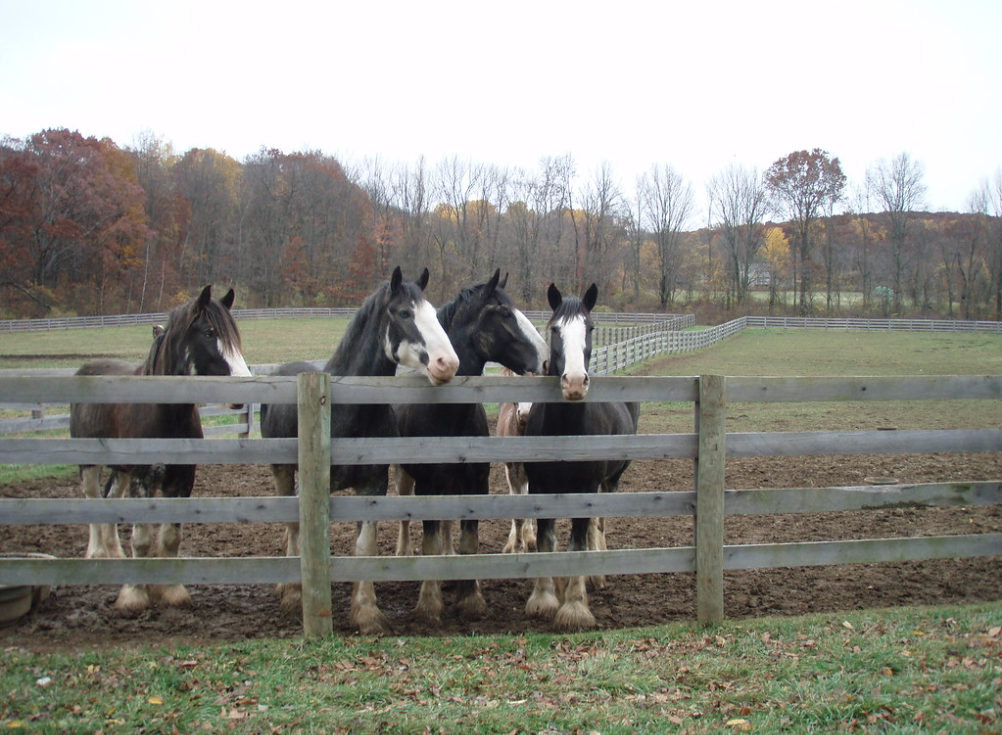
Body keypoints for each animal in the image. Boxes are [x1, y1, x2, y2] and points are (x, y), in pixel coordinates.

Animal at [70, 285, 252, 611]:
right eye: (209, 333)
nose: (244, 386)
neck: (165, 411)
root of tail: (85, 369)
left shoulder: (182, 479)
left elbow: (170, 537)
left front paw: (170, 591)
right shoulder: (143, 477)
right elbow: (142, 538)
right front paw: (134, 594)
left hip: (121, 470)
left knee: (111, 499)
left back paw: (115, 554)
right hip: (90, 465)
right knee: (92, 498)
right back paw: (97, 553)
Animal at [259, 266, 459, 635]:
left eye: (434, 313)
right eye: (404, 313)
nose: (447, 363)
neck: (348, 410)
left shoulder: (372, 486)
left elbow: (364, 545)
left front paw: (366, 611)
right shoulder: (313, 487)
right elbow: (305, 533)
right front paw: (299, 596)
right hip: (281, 471)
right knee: (290, 524)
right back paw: (288, 587)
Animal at [393, 270, 548, 624]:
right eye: (503, 312)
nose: (547, 359)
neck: (447, 414)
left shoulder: (475, 483)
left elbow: (468, 540)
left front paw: (470, 597)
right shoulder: (428, 485)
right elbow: (430, 543)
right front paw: (429, 603)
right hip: (406, 478)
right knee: (406, 519)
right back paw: (403, 555)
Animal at [523, 282, 640, 631]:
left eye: (590, 328)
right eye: (555, 329)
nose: (574, 382)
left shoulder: (586, 487)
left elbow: (577, 542)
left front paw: (574, 607)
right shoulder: (540, 488)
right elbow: (546, 539)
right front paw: (545, 598)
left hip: (610, 481)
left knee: (597, 525)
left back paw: (596, 576)